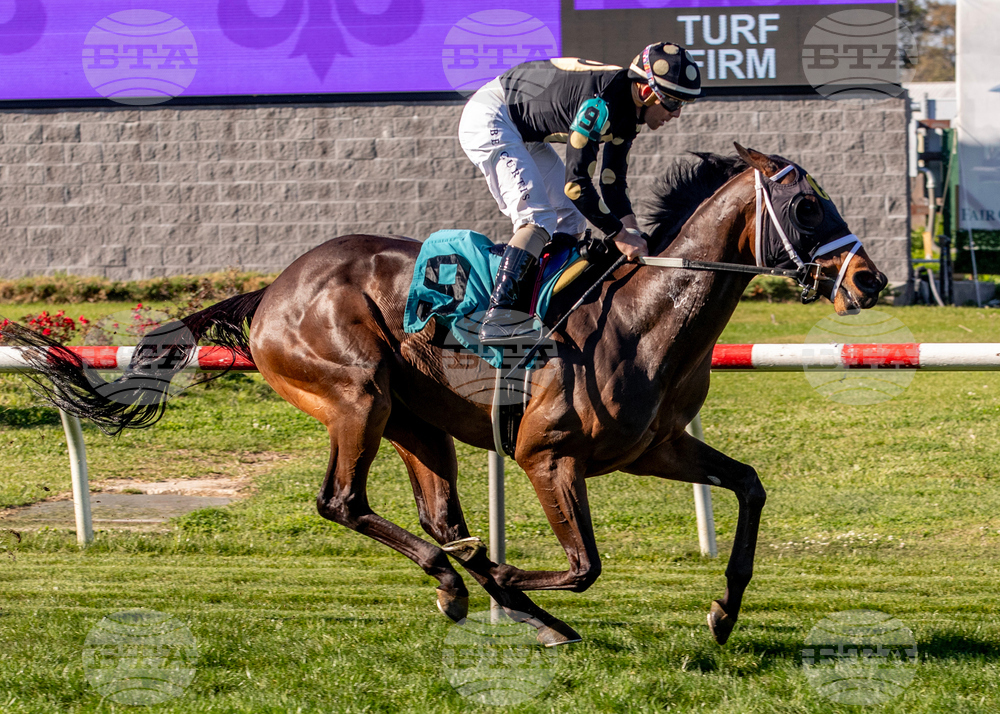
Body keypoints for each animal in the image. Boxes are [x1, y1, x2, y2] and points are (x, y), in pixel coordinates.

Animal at [2, 144, 887, 647]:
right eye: (808, 205)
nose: (871, 281)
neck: (645, 317)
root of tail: (272, 289)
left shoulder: (656, 448)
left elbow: (749, 487)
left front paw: (723, 613)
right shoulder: (544, 455)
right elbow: (584, 565)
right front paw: (505, 574)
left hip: (415, 421)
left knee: (431, 513)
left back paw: (489, 591)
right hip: (356, 394)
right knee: (343, 502)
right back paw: (468, 583)